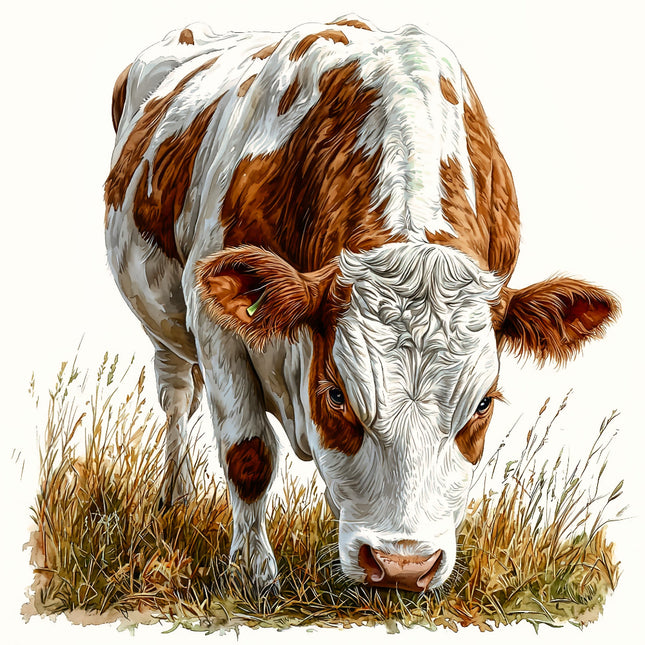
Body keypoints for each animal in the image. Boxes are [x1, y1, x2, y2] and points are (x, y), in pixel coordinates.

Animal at [104, 17, 619, 594]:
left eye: (484, 404)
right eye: (335, 394)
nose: (403, 565)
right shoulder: (217, 330)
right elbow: (248, 454)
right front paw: (253, 573)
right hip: (163, 323)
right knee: (176, 399)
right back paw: (175, 496)